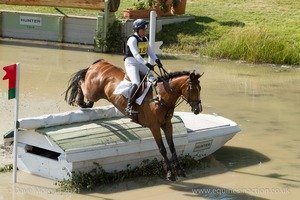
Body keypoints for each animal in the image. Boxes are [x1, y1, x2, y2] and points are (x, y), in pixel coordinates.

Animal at [64, 59, 203, 181]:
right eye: (191, 89)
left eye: (200, 89)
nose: (198, 109)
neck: (162, 97)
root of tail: (99, 63)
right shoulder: (154, 126)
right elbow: (162, 148)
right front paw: (169, 174)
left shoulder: (167, 124)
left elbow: (172, 147)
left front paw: (180, 171)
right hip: (92, 92)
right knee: (80, 82)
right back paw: (78, 100)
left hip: (94, 94)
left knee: (88, 101)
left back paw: (83, 103)